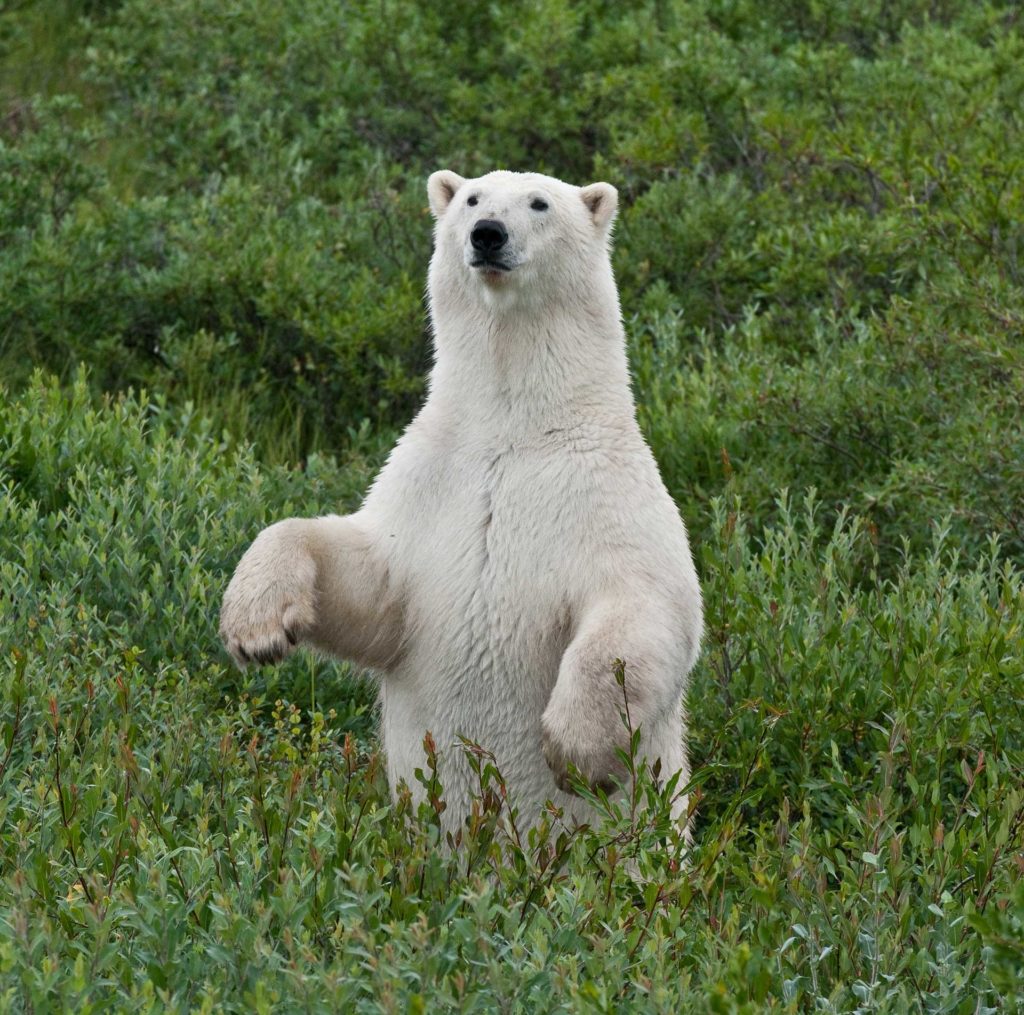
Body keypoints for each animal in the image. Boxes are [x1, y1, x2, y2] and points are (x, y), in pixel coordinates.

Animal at [220, 171, 704, 835]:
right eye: (473, 198)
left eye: (539, 203)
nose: (488, 234)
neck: (512, 430)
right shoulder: (431, 483)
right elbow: (368, 581)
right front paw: (257, 626)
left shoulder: (603, 493)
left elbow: (646, 605)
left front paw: (575, 751)